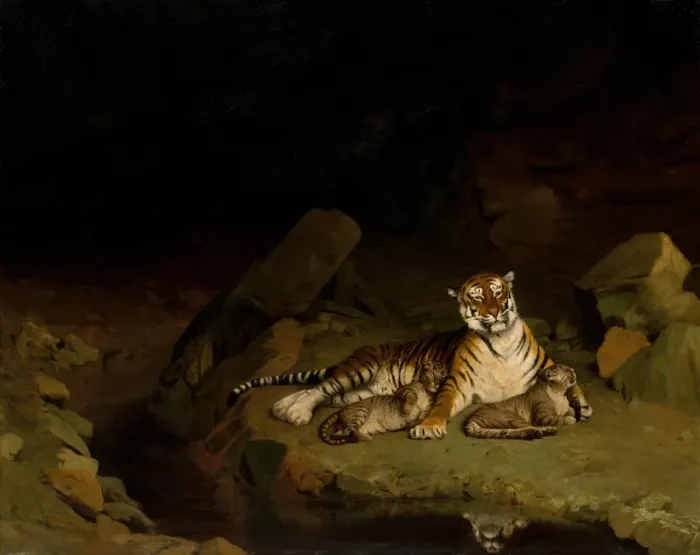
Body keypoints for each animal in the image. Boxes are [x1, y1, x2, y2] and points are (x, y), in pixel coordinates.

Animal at [226, 270, 593, 440]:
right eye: (477, 297)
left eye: (498, 292)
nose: (494, 312)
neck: (499, 339)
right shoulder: (456, 383)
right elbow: (441, 405)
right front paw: (427, 427)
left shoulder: (546, 365)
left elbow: (574, 385)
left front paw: (583, 407)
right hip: (358, 370)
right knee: (318, 388)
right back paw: (295, 413)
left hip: (357, 393)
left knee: (319, 392)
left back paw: (284, 408)